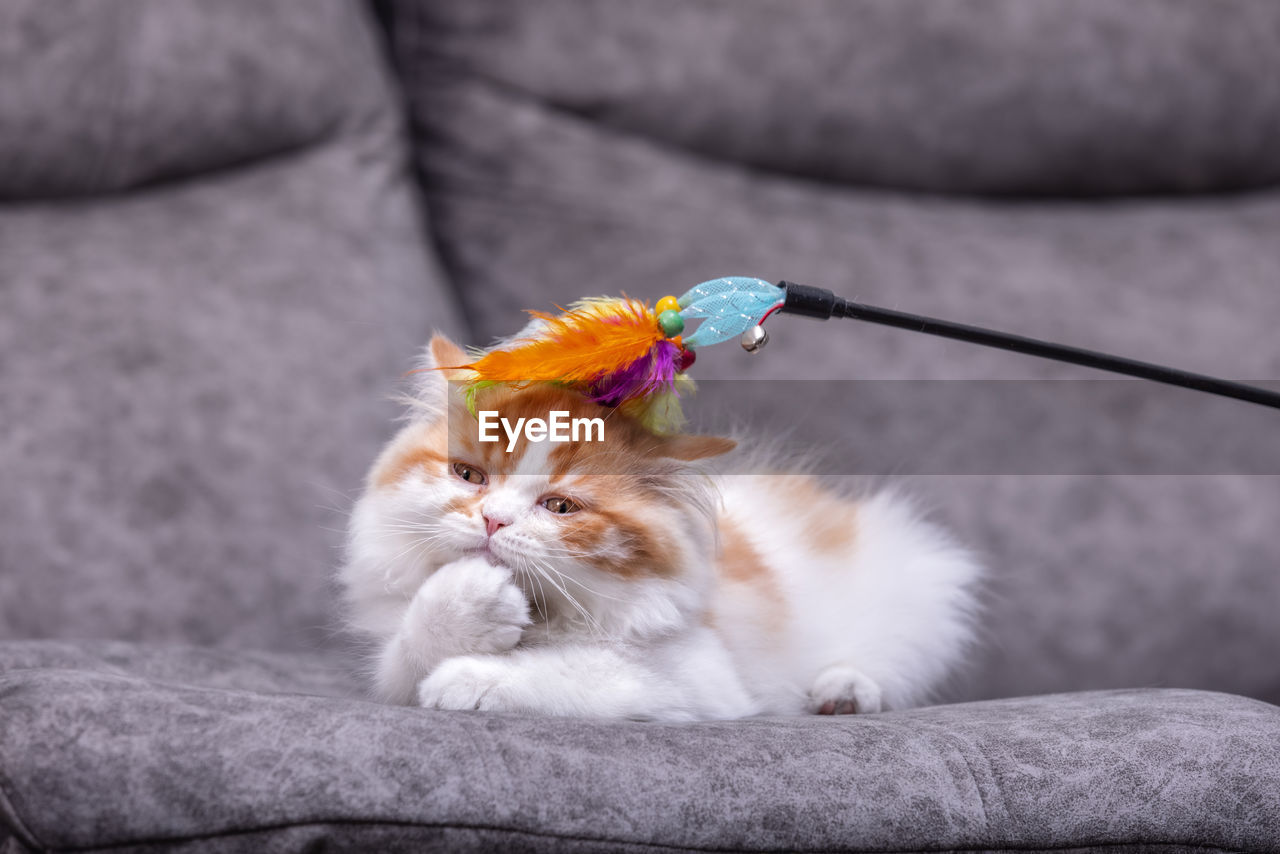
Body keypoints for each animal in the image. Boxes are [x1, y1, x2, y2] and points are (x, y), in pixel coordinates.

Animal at [337, 332, 977, 722]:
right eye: (468, 475)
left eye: (561, 507)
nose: (493, 520)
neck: (547, 614)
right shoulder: (391, 662)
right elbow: (407, 655)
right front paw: (467, 603)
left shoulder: (700, 678)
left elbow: (583, 670)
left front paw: (470, 678)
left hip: (923, 587)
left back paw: (843, 693)